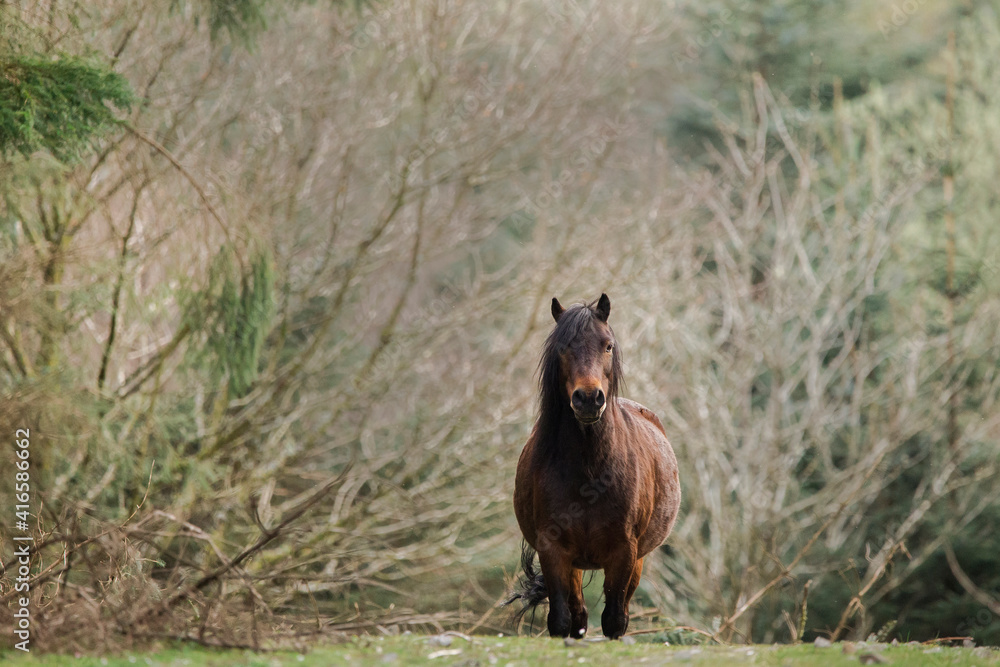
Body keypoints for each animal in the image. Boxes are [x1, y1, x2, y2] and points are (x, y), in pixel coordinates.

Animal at [508, 294, 680, 640]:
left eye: (608, 345)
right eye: (563, 348)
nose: (588, 398)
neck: (589, 473)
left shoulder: (624, 552)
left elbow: (614, 620)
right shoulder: (553, 549)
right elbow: (561, 620)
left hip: (637, 560)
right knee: (579, 615)